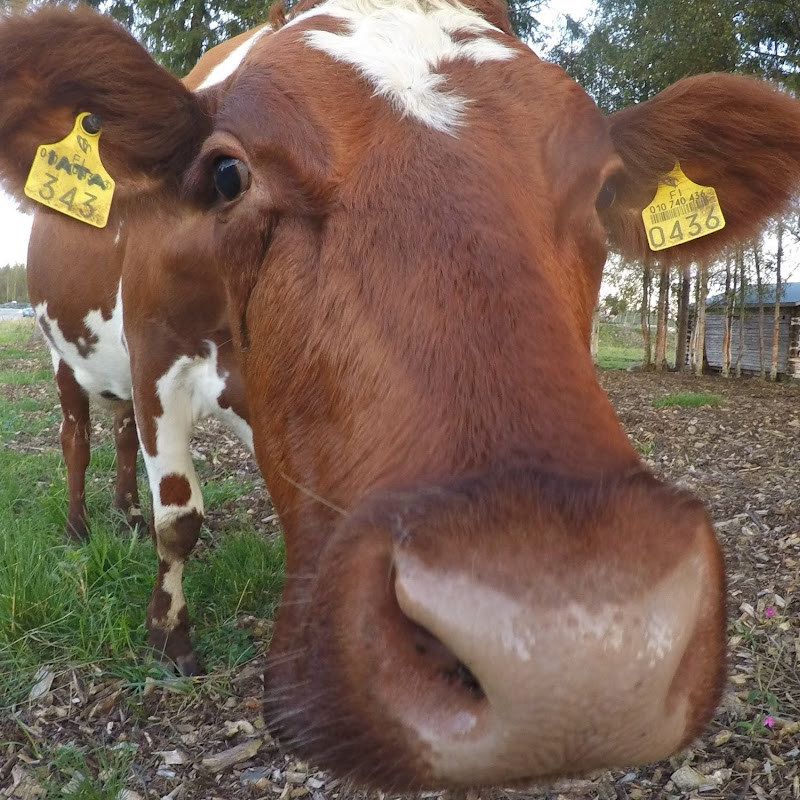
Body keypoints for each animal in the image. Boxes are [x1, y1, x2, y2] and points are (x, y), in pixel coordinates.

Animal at [4, 0, 800, 792]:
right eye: (227, 173)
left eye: (604, 189)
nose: (574, 654)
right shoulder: (154, 356)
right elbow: (181, 520)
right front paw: (170, 639)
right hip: (60, 352)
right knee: (78, 434)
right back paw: (81, 526)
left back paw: (122, 512)